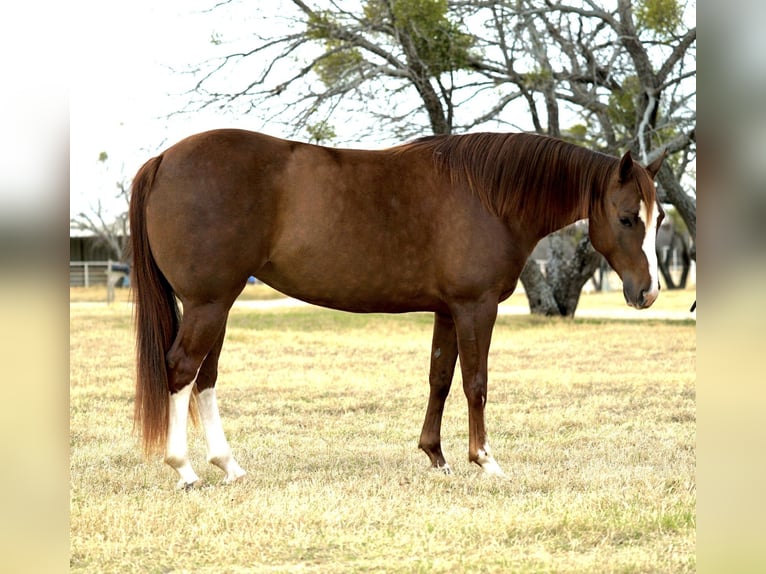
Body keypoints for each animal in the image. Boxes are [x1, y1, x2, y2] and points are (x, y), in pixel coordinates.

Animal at [129, 129, 665, 488]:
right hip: (208, 303)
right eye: (626, 217)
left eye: (660, 217)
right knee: (182, 370)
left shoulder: (448, 310)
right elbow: (476, 383)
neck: (489, 197)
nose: (648, 292)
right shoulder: (475, 307)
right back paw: (184, 470)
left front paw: (437, 457)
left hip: (217, 303)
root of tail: (164, 159)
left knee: (204, 378)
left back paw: (229, 466)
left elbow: (440, 379)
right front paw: (485, 459)